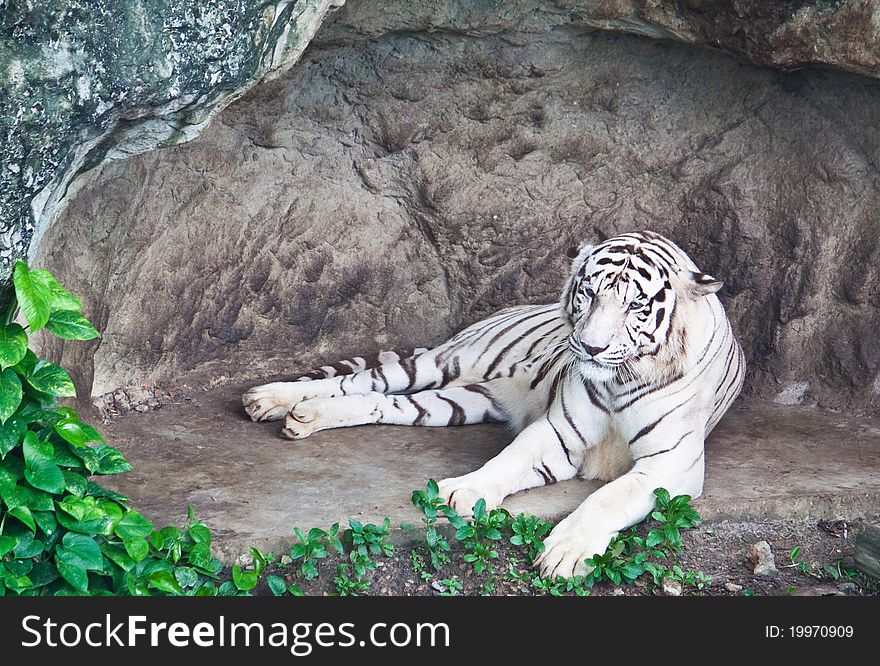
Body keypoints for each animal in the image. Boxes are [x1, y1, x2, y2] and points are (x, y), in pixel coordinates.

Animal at [244, 230, 744, 576]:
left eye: (636, 307)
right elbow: (510, 458)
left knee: (379, 402)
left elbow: (607, 497)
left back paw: (303, 416)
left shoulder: (670, 465)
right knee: (361, 381)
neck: (620, 379)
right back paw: (269, 399)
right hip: (442, 364)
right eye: (588, 293)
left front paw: (564, 554)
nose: (590, 347)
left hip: (455, 401)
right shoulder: (559, 431)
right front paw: (459, 492)